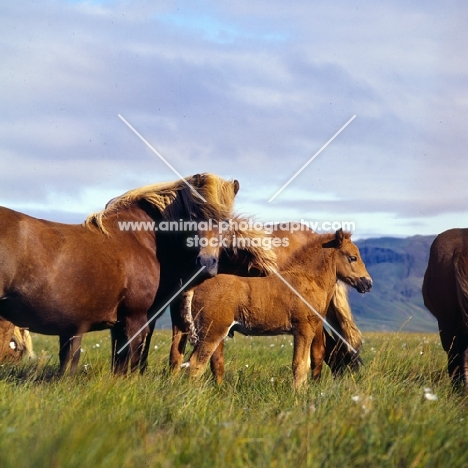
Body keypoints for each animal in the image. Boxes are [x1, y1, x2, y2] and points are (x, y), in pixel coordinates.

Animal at [0, 174, 239, 374]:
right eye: (192, 216)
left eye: (226, 221)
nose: (206, 264)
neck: (143, 240)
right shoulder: (134, 319)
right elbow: (127, 366)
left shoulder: (119, 324)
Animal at [186, 229, 372, 388]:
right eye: (353, 257)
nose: (368, 283)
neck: (307, 280)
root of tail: (197, 287)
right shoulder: (303, 330)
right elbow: (299, 365)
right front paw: (298, 394)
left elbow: (305, 363)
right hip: (213, 332)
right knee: (196, 363)